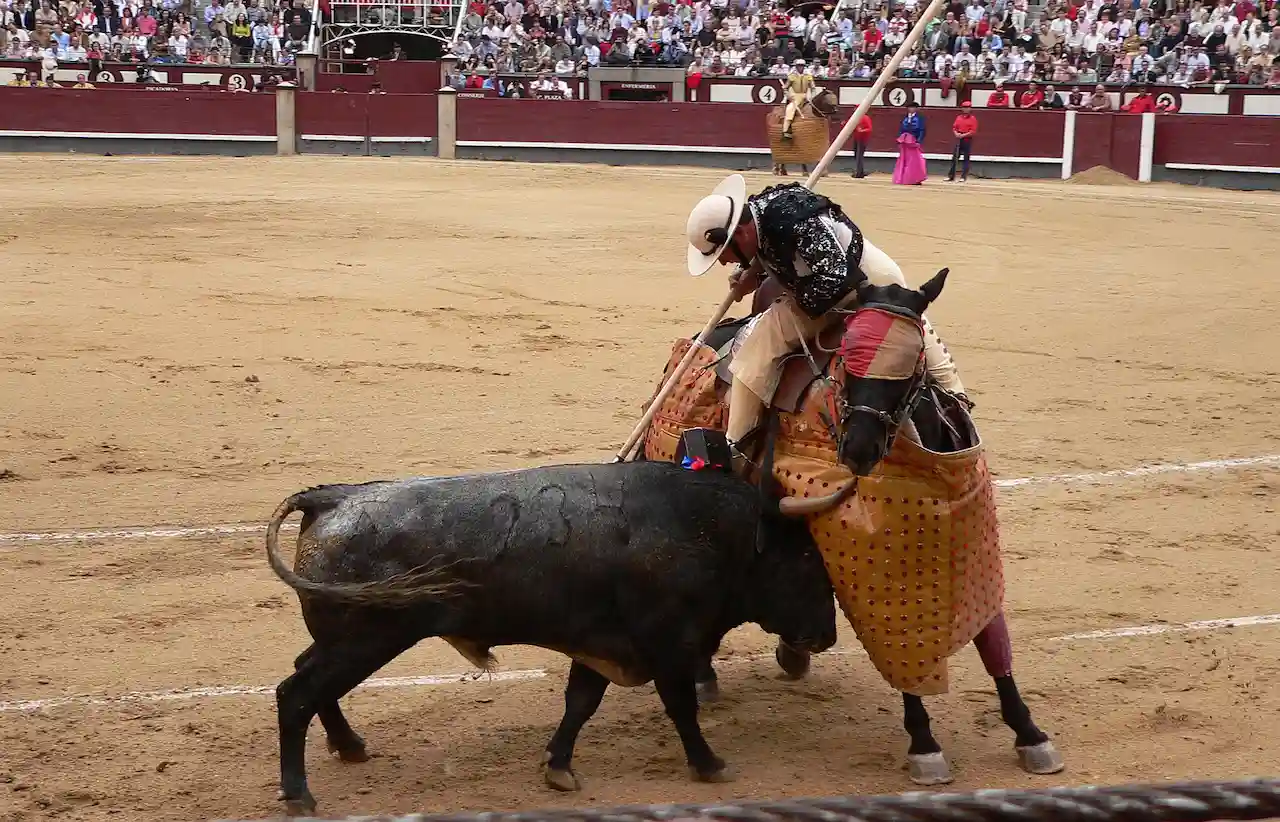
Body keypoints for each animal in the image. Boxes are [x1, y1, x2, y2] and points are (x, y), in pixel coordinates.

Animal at [262, 460, 839, 814]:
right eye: (807, 563)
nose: (825, 637)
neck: (709, 532)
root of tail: (332, 498)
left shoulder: (601, 644)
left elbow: (580, 703)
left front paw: (558, 767)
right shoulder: (669, 646)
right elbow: (681, 709)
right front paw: (710, 765)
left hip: (343, 639)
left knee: (306, 676)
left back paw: (349, 746)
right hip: (364, 641)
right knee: (296, 694)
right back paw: (298, 795)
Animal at [640, 267, 1070, 778]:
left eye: (914, 363)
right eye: (847, 361)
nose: (858, 449)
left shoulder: (972, 541)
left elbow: (992, 638)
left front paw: (1030, 733)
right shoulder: (881, 568)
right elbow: (902, 646)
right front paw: (924, 743)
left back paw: (790, 654)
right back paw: (707, 674)